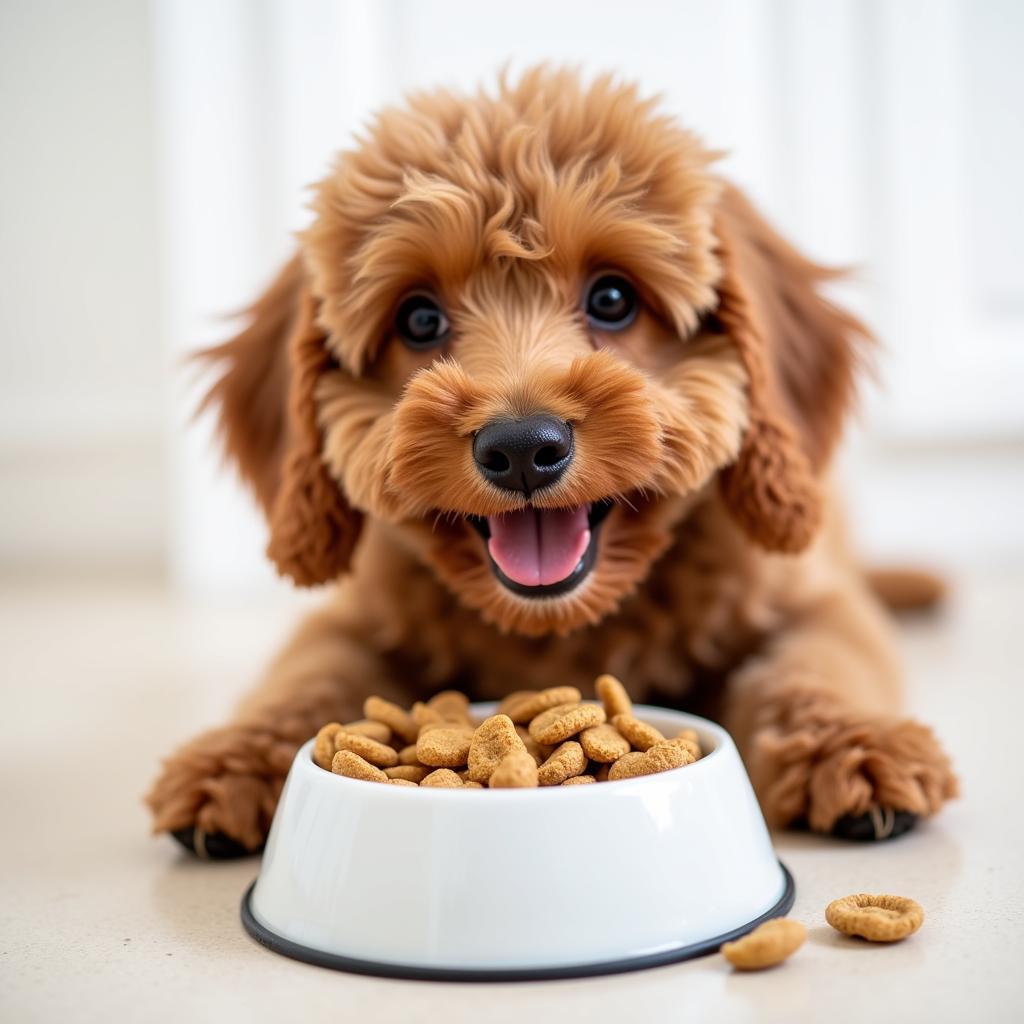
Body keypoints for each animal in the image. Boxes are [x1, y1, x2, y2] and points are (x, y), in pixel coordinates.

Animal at [148, 66, 954, 856]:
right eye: (419, 318)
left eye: (613, 298)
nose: (521, 449)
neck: (556, 630)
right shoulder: (348, 619)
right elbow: (305, 675)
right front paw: (234, 758)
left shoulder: (816, 603)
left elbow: (818, 664)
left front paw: (855, 744)